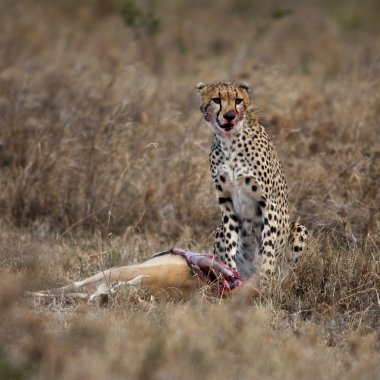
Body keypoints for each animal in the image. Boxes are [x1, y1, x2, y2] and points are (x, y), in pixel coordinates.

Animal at [197, 80, 308, 278]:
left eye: (238, 100)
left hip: (298, 230)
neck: (230, 142)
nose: (230, 116)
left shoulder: (268, 202)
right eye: (216, 100)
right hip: (218, 230)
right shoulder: (226, 202)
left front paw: (265, 278)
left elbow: (268, 246)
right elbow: (230, 242)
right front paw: (230, 272)